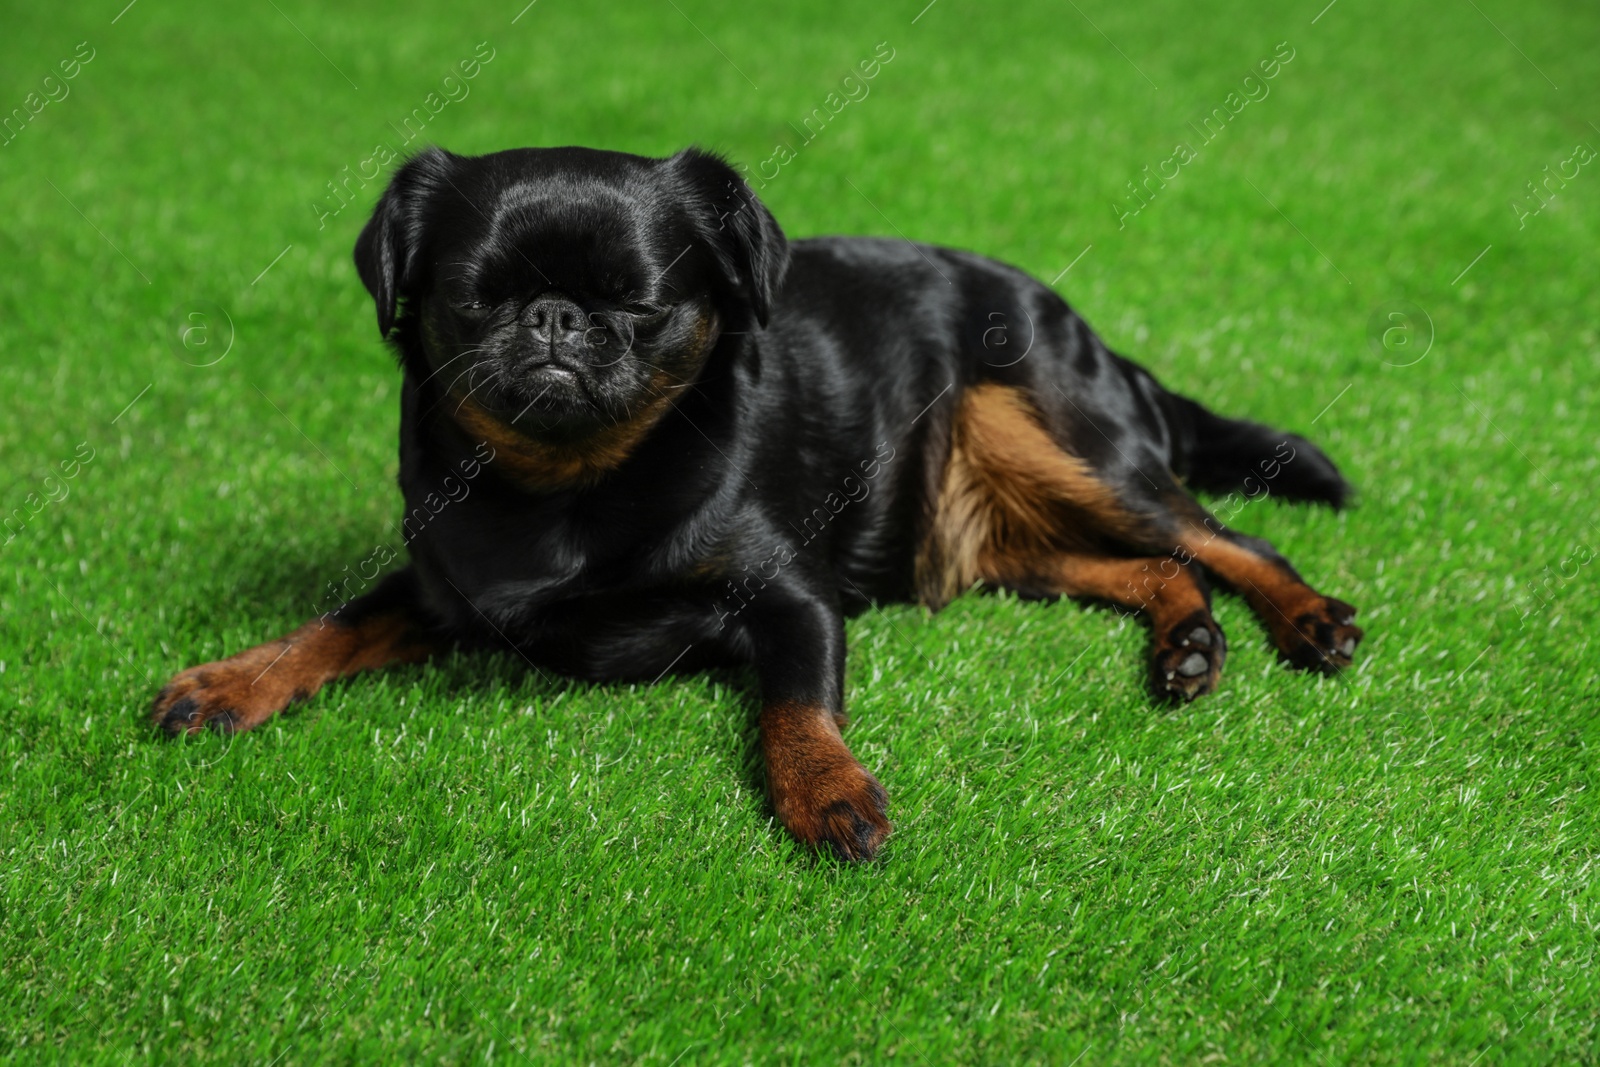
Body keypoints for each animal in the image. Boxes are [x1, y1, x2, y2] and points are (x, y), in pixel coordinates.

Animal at [152, 143, 1363, 857]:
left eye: (638, 302)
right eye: (476, 298)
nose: (554, 316)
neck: (572, 485)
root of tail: (1097, 337)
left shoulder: (792, 598)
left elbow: (795, 701)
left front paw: (825, 791)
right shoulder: (439, 587)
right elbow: (335, 623)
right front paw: (231, 680)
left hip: (1061, 440)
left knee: (1220, 534)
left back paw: (1306, 620)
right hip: (1012, 536)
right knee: (1156, 562)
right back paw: (1189, 646)